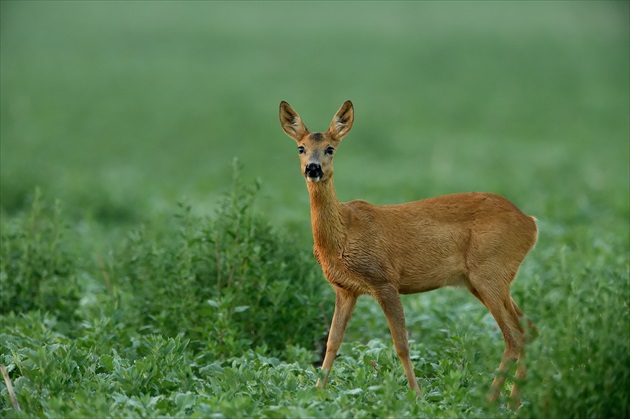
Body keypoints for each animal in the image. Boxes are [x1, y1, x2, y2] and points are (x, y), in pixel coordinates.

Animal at [278, 100, 540, 408]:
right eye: (301, 148)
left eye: (330, 148)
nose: (313, 168)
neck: (343, 235)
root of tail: (531, 223)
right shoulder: (345, 289)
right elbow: (332, 342)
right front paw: (316, 393)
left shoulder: (385, 280)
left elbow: (401, 344)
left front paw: (417, 396)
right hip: (481, 281)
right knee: (530, 329)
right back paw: (512, 402)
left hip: (491, 272)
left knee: (514, 336)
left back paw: (491, 400)